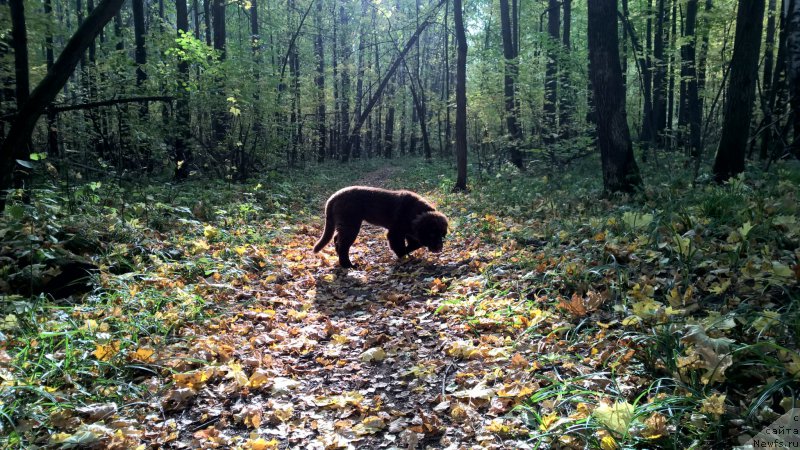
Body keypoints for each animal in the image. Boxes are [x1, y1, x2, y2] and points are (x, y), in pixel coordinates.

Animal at [312, 185, 450, 268]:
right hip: (351, 225)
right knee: (343, 245)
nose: (439, 248)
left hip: (345, 224)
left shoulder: (409, 232)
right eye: (432, 234)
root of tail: (334, 196)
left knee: (337, 239)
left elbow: (416, 244)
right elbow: (400, 247)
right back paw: (348, 265)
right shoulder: (395, 232)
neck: (416, 212)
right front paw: (403, 257)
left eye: (442, 235)